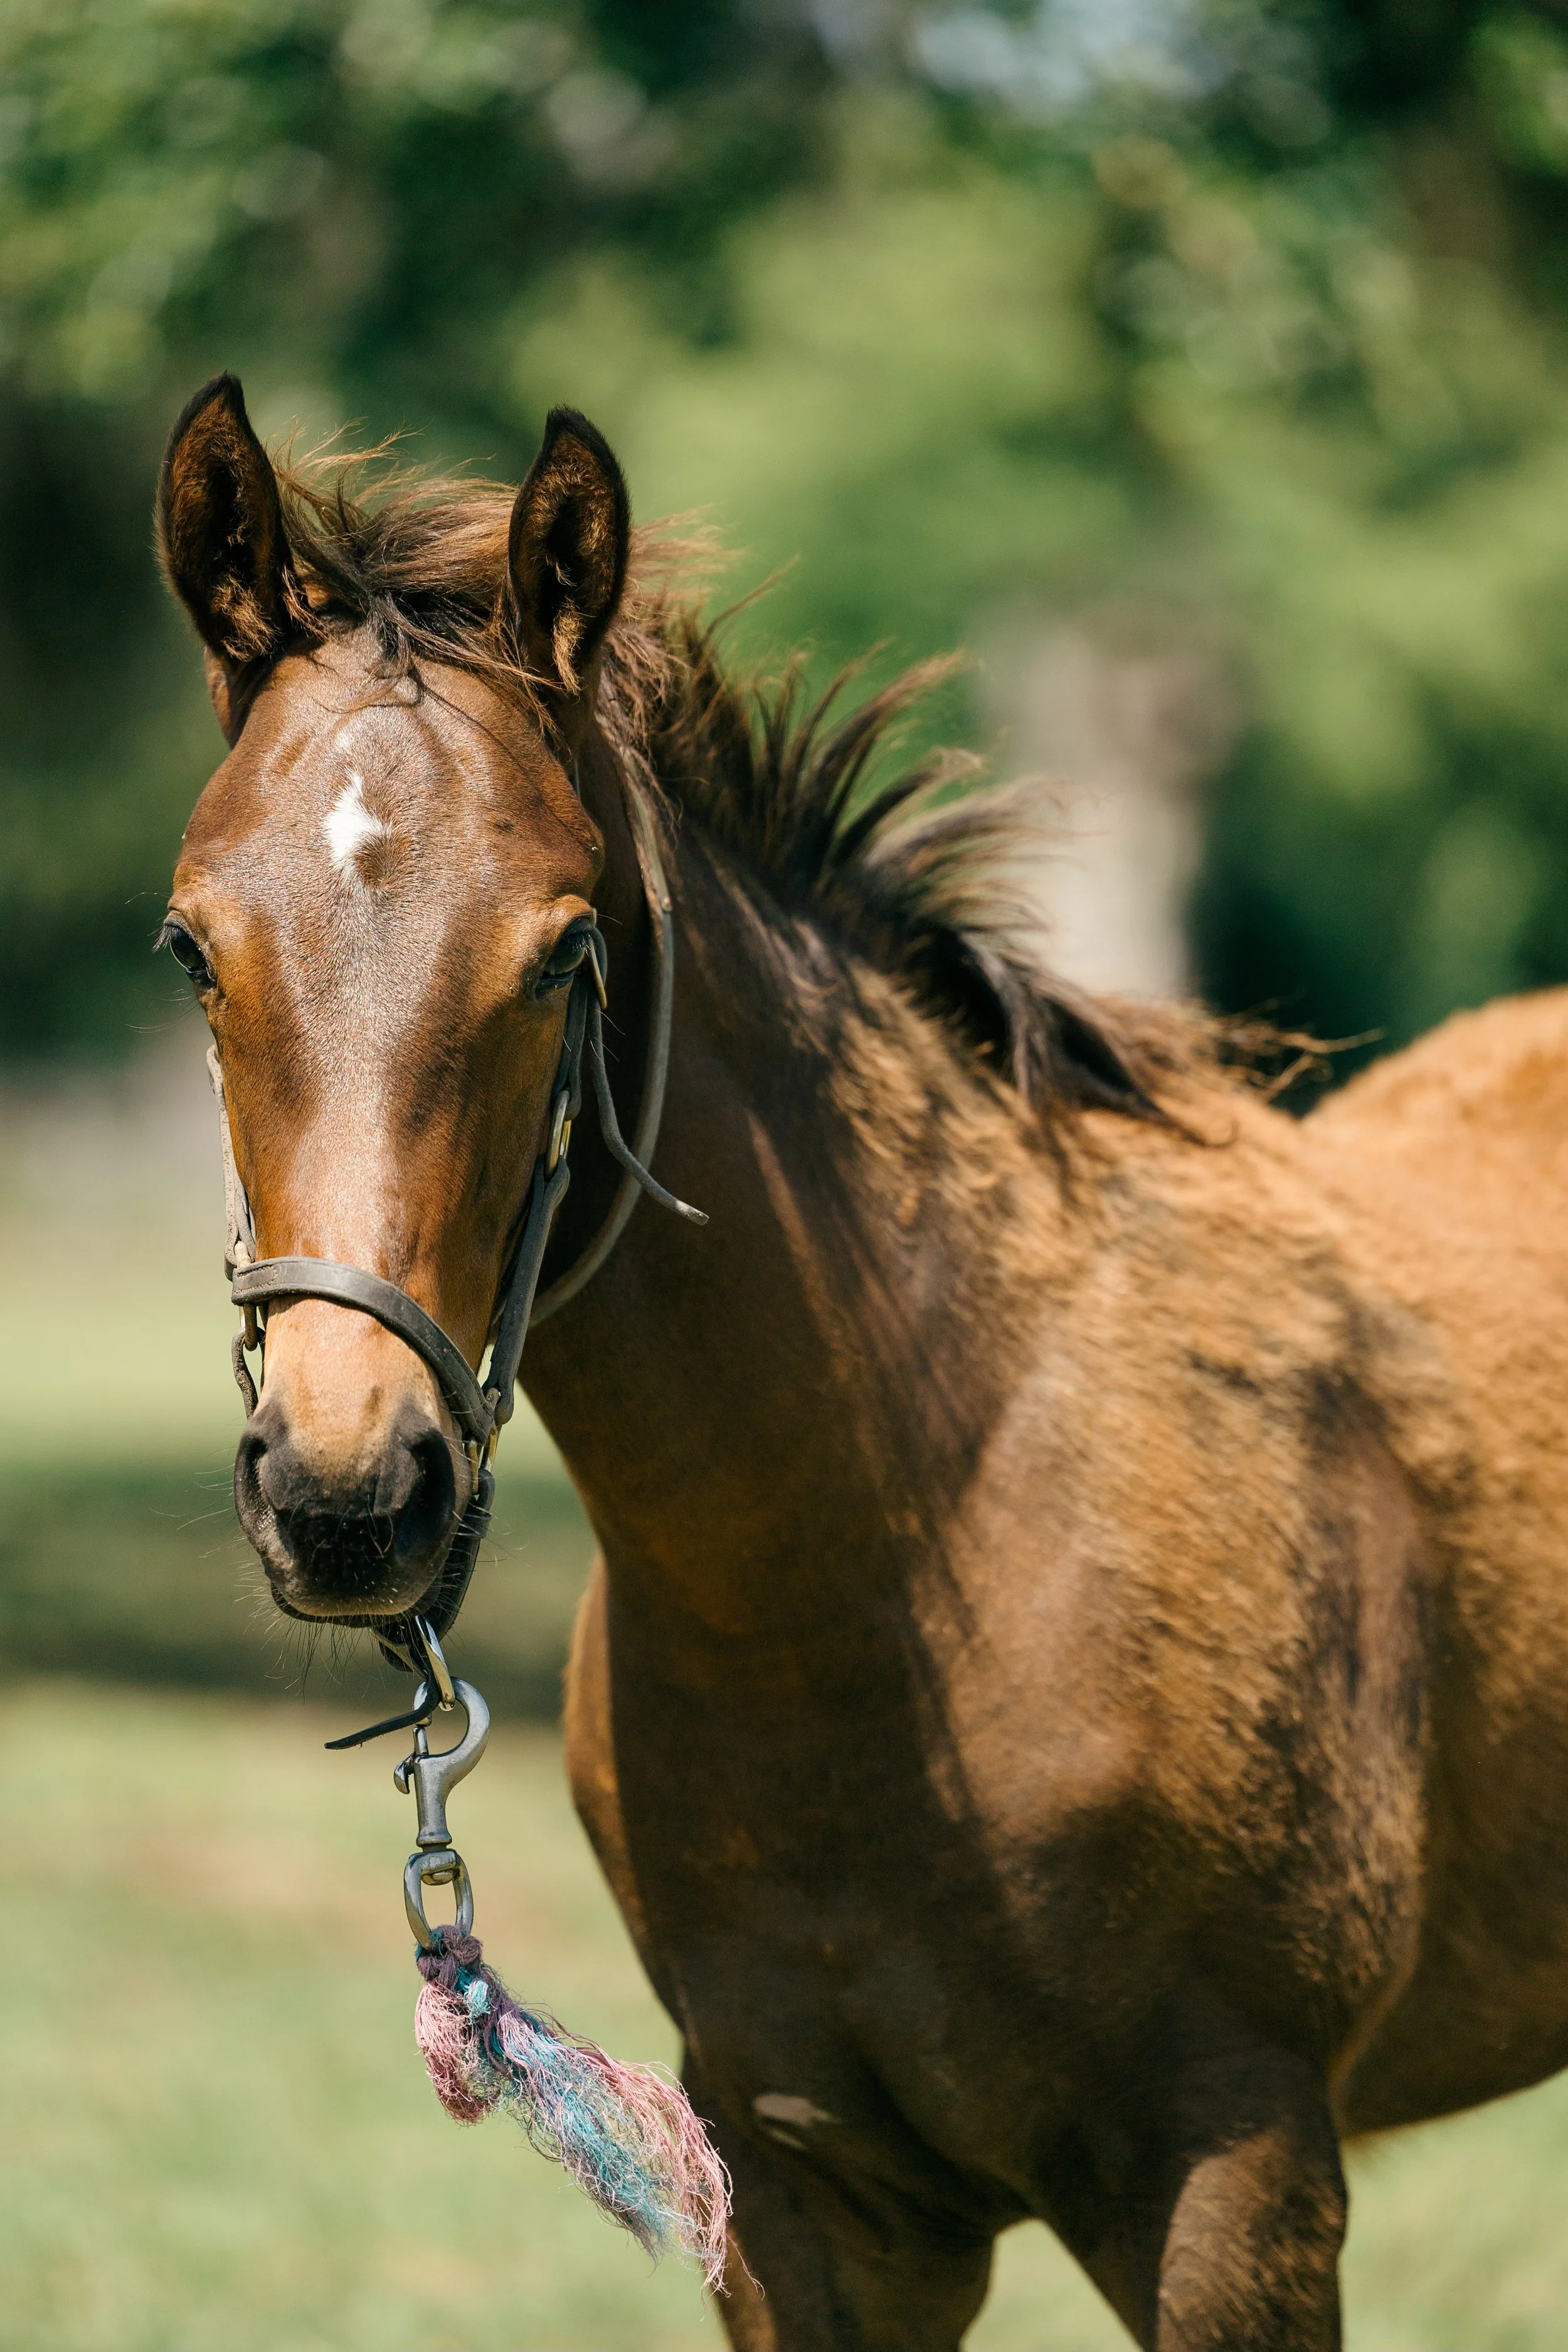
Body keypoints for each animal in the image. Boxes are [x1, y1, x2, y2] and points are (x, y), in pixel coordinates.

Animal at [155, 370, 1568, 2351]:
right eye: (191, 944)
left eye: (565, 951)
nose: (350, 1490)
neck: (896, 1561)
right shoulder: (809, 2194)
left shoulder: (1241, 2177)